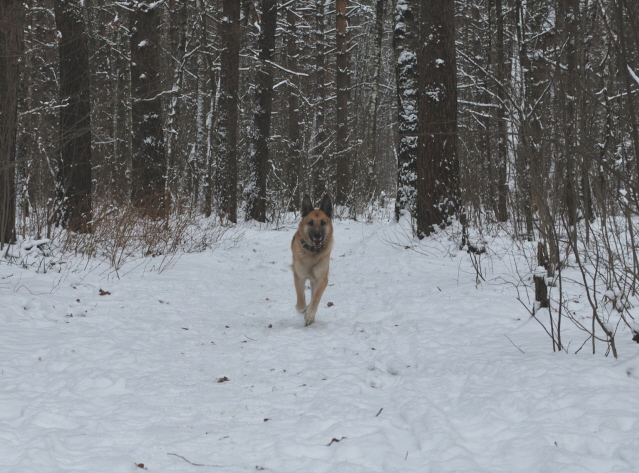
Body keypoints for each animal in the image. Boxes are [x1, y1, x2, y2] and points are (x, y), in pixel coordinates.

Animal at [292, 195, 336, 324]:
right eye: (310, 223)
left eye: (323, 223)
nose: (317, 235)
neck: (312, 252)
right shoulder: (299, 276)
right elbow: (301, 298)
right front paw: (302, 309)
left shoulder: (322, 279)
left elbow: (316, 298)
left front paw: (310, 314)